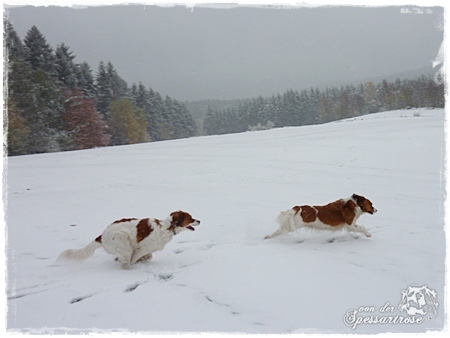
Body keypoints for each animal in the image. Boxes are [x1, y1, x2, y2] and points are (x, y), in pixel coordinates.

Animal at [57, 211, 200, 270]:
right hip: (124, 243)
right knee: (126, 262)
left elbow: (149, 256)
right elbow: (135, 258)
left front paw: (143, 260)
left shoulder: (145, 250)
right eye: (191, 218)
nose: (199, 221)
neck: (167, 227)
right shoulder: (140, 248)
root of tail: (101, 236)